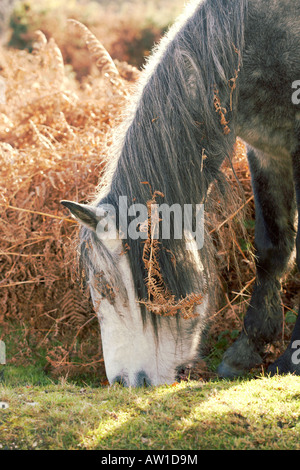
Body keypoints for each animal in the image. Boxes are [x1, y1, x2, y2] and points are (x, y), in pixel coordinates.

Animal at [61, 0, 300, 386]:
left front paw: (292, 360)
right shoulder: (267, 150)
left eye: (108, 289)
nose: (122, 383)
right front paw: (246, 351)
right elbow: (272, 249)